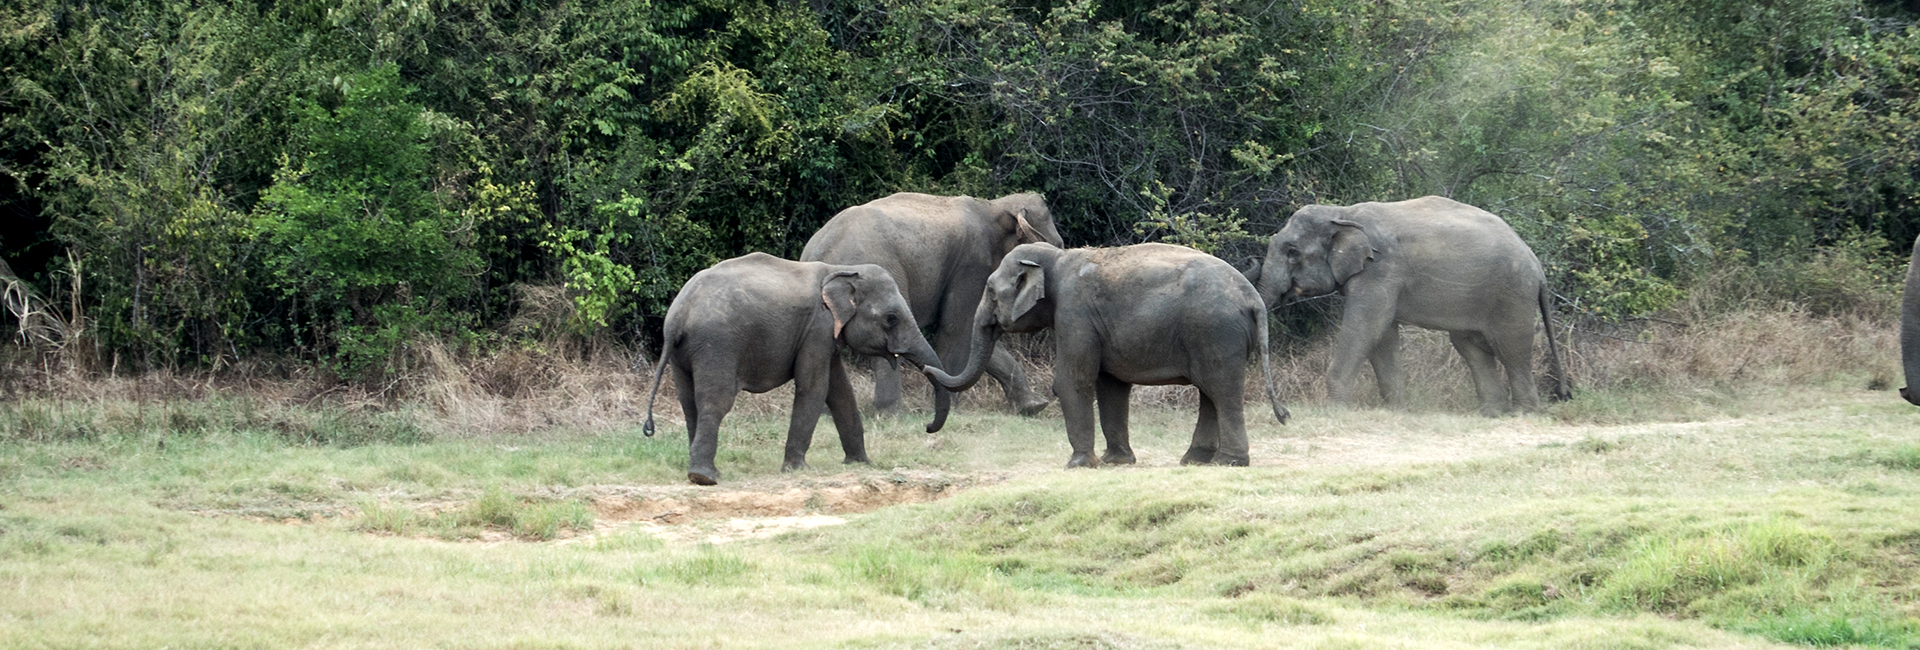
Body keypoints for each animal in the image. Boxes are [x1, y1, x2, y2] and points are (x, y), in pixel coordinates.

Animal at [642, 253, 946, 485]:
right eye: (891, 318)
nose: (928, 427)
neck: (841, 269)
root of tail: (678, 315)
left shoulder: (826, 335)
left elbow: (840, 391)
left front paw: (861, 464)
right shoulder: (817, 329)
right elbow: (815, 387)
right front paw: (798, 469)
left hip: (683, 354)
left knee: (688, 402)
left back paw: (708, 472)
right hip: (717, 343)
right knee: (715, 401)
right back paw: (703, 477)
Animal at [801, 192, 1062, 418]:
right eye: (1055, 244)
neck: (995, 205)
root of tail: (818, 252)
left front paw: (1034, 406)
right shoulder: (971, 264)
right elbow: (957, 328)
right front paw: (948, 406)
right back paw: (892, 413)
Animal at [924, 242, 1289, 468]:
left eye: (989, 291)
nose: (927, 368)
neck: (1058, 258)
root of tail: (1253, 298)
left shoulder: (1074, 313)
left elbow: (1072, 381)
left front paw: (1078, 464)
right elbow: (1111, 385)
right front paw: (1117, 462)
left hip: (1215, 331)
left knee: (1221, 390)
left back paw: (1229, 462)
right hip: (1216, 335)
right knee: (1210, 393)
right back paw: (1195, 461)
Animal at [1243, 196, 1571, 416]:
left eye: (1292, 252)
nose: (1284, 413)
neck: (1341, 212)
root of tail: (1536, 264)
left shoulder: (1381, 271)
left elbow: (1365, 328)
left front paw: (1334, 409)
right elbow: (1382, 335)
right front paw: (1396, 410)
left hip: (1512, 293)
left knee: (1511, 347)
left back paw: (1522, 413)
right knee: (1471, 347)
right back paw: (1490, 413)